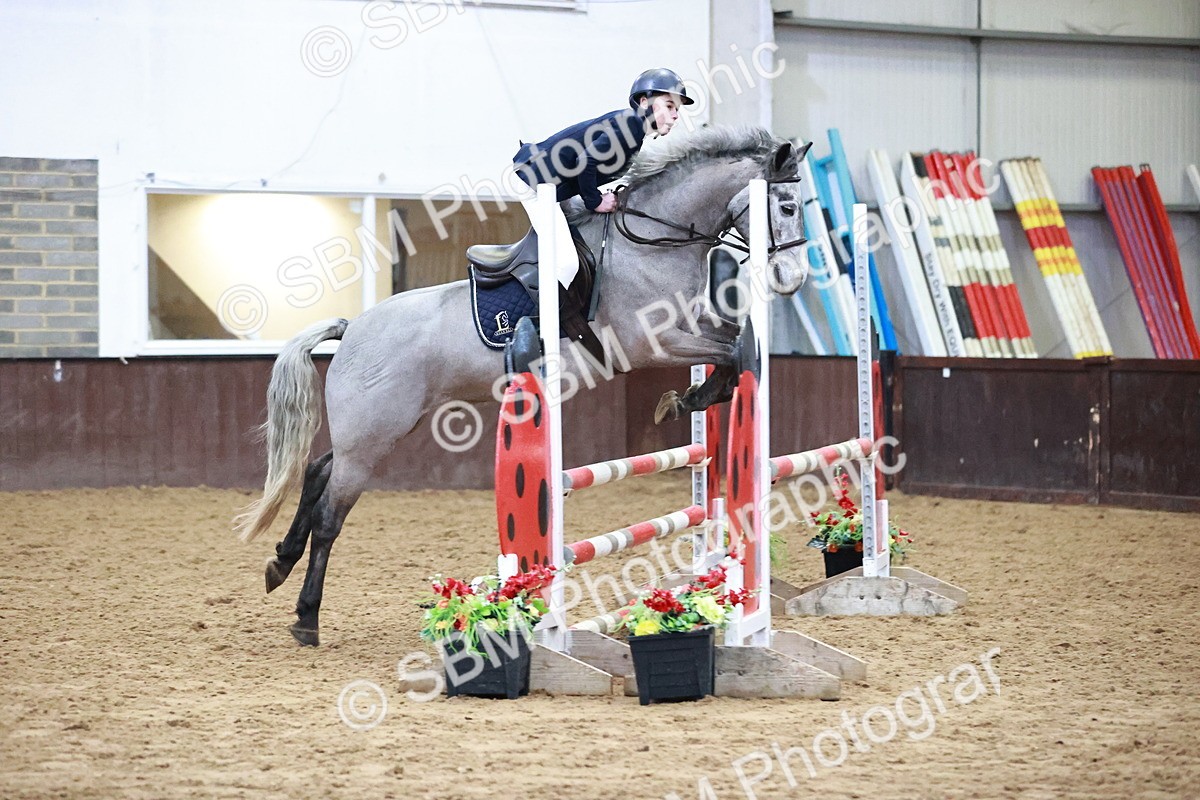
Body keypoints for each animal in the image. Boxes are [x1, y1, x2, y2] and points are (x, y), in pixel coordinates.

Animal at [234, 126, 809, 646]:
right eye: (786, 206)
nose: (793, 278)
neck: (651, 244)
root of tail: (352, 329)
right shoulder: (656, 341)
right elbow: (732, 352)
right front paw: (685, 399)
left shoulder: (689, 328)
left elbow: (732, 345)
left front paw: (687, 398)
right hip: (372, 437)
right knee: (331, 514)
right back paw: (306, 618)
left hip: (386, 428)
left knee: (317, 469)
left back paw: (279, 564)